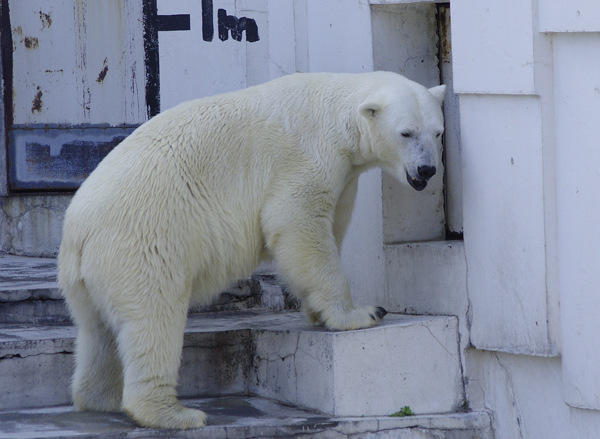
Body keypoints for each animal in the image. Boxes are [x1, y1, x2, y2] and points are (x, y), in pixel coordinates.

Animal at [57, 72, 446, 430]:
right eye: (406, 133)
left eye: (438, 132)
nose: (427, 169)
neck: (336, 114)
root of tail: (78, 233)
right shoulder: (308, 157)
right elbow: (295, 223)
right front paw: (361, 313)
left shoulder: (346, 174)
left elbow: (332, 226)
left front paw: (317, 311)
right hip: (144, 243)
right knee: (154, 318)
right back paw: (174, 414)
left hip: (87, 276)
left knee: (97, 333)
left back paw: (99, 398)